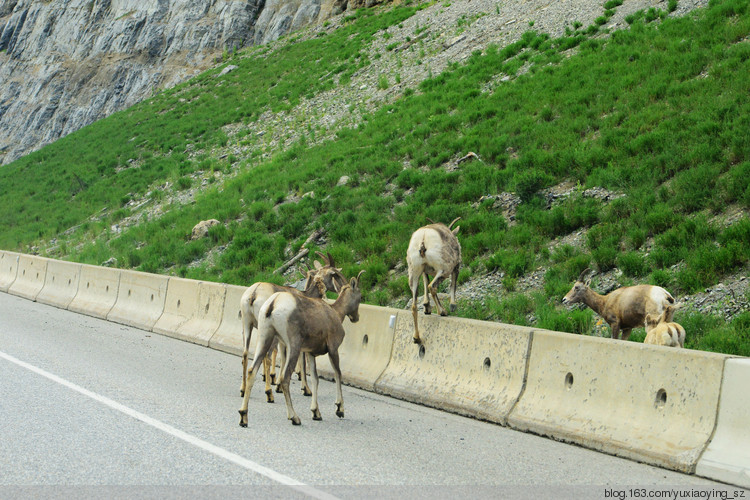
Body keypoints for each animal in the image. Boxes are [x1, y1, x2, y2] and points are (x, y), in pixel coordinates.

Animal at [236, 270, 362, 426]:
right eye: (360, 296)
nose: (356, 317)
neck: (335, 313)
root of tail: (272, 304)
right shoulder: (332, 348)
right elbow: (338, 374)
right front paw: (339, 409)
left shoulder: (311, 353)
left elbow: (315, 378)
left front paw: (316, 412)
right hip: (292, 345)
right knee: (284, 376)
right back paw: (293, 416)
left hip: (261, 335)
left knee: (251, 367)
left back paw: (243, 416)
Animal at [239, 252, 348, 400]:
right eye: (335, 274)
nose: (343, 287)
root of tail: (253, 294)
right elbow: (301, 360)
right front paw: (305, 389)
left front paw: (279, 383)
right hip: (265, 330)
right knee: (265, 356)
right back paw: (269, 393)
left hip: (247, 324)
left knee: (245, 353)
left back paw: (243, 389)